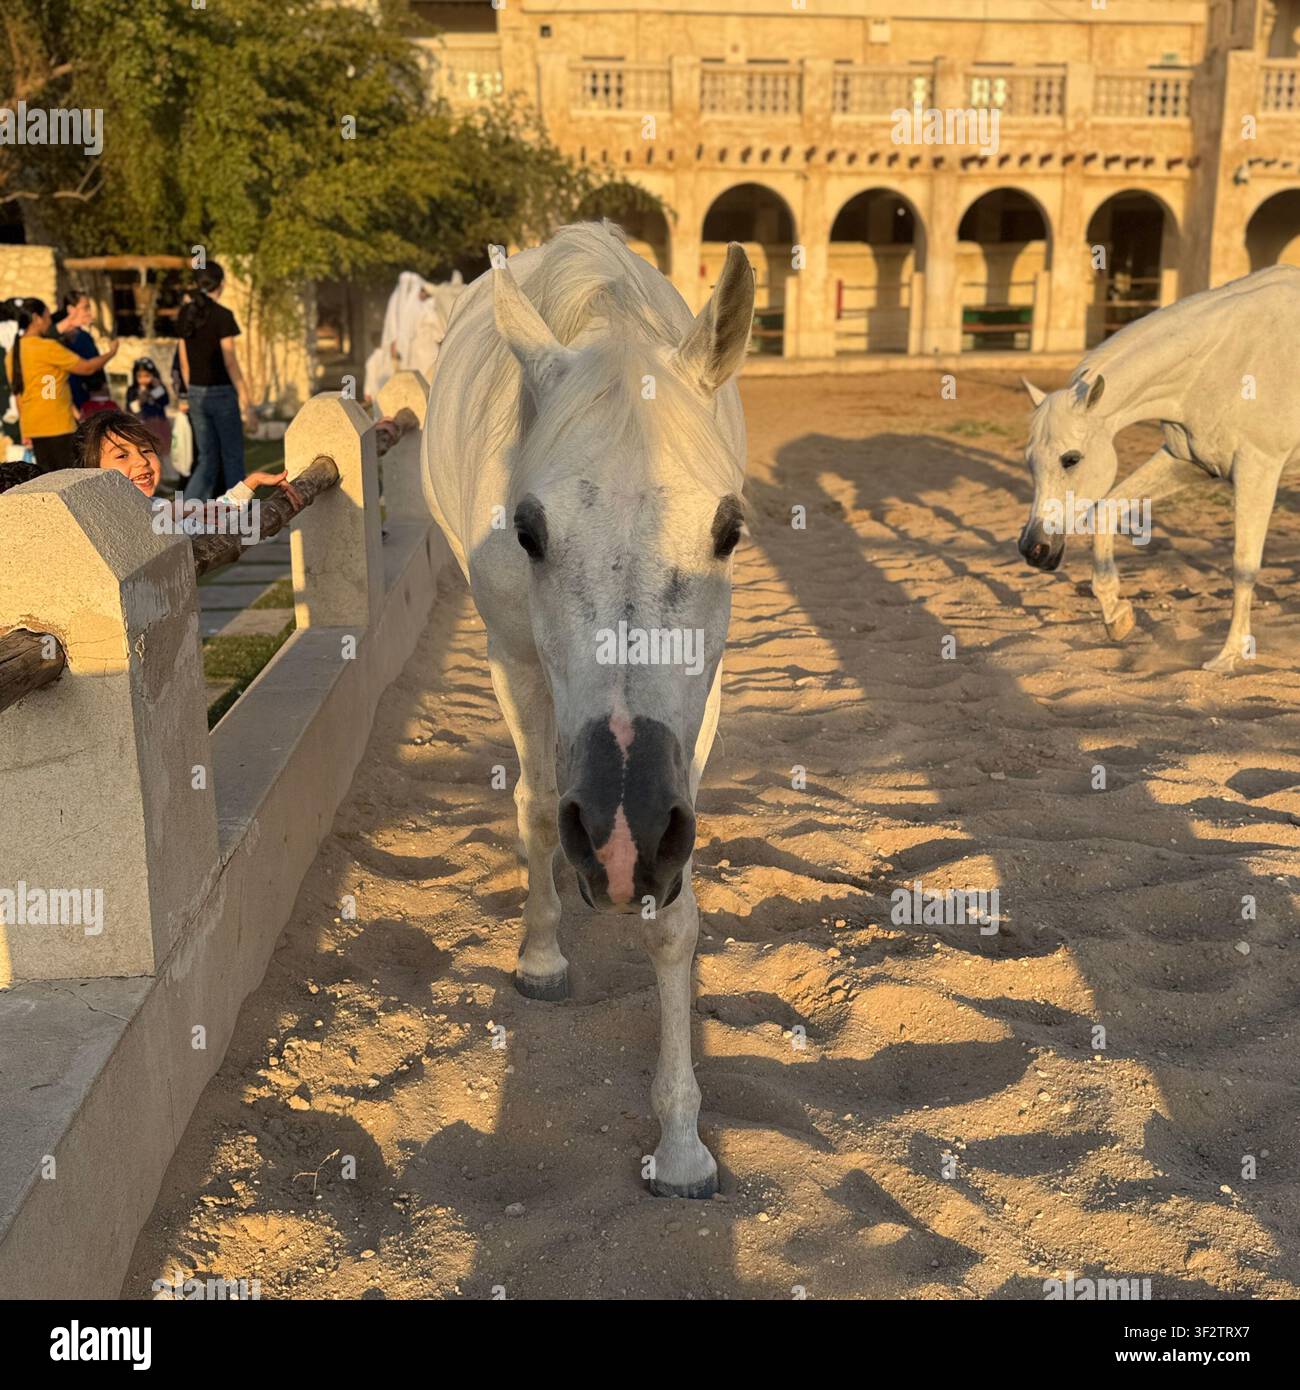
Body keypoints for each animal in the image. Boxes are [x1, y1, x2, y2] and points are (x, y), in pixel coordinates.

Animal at [421, 221, 755, 1197]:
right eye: (527, 532)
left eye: (729, 530)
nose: (619, 843)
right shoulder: (515, 661)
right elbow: (535, 810)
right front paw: (541, 956)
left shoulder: (702, 704)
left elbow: (677, 921)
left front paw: (680, 1143)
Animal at [1018, 264, 1300, 671]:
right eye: (1030, 460)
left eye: (1071, 459)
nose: (1034, 549)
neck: (1223, 361)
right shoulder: (1186, 463)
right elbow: (1106, 510)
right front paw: (1116, 616)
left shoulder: (1258, 469)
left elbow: (1243, 564)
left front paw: (1229, 656)